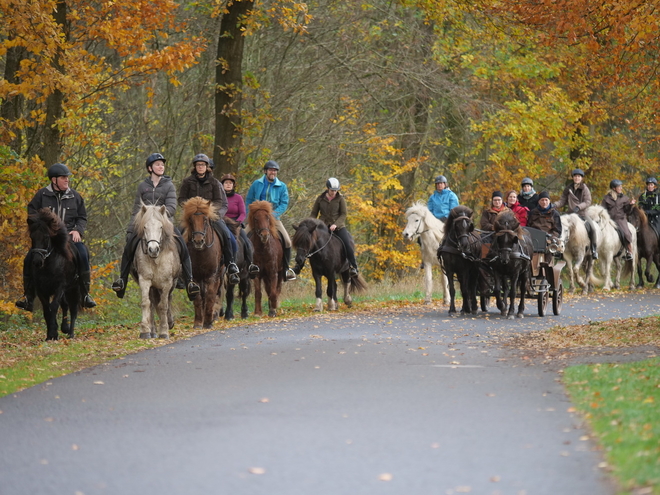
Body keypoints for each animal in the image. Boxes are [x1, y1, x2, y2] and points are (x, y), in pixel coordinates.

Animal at [26, 208, 82, 340]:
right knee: (65, 305)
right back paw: (65, 328)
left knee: (73, 309)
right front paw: (50, 335)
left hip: (74, 288)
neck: (48, 266)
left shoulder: (59, 287)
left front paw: (53, 334)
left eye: (46, 237)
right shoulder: (41, 290)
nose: (37, 262)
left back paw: (71, 333)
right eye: (32, 237)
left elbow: (54, 306)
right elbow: (47, 310)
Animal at [131, 203, 180, 340]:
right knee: (152, 304)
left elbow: (163, 306)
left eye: (161, 227)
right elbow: (146, 303)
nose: (153, 249)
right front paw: (144, 331)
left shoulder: (167, 283)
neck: (155, 259)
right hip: (153, 286)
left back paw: (169, 323)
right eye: (145, 227)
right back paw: (152, 331)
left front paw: (164, 331)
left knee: (167, 300)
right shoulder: (145, 280)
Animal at [180, 198, 224, 330]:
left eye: (205, 219)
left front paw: (208, 322)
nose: (198, 241)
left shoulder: (212, 276)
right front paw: (199, 322)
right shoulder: (194, 277)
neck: (201, 252)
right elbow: (198, 299)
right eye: (190, 220)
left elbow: (210, 296)